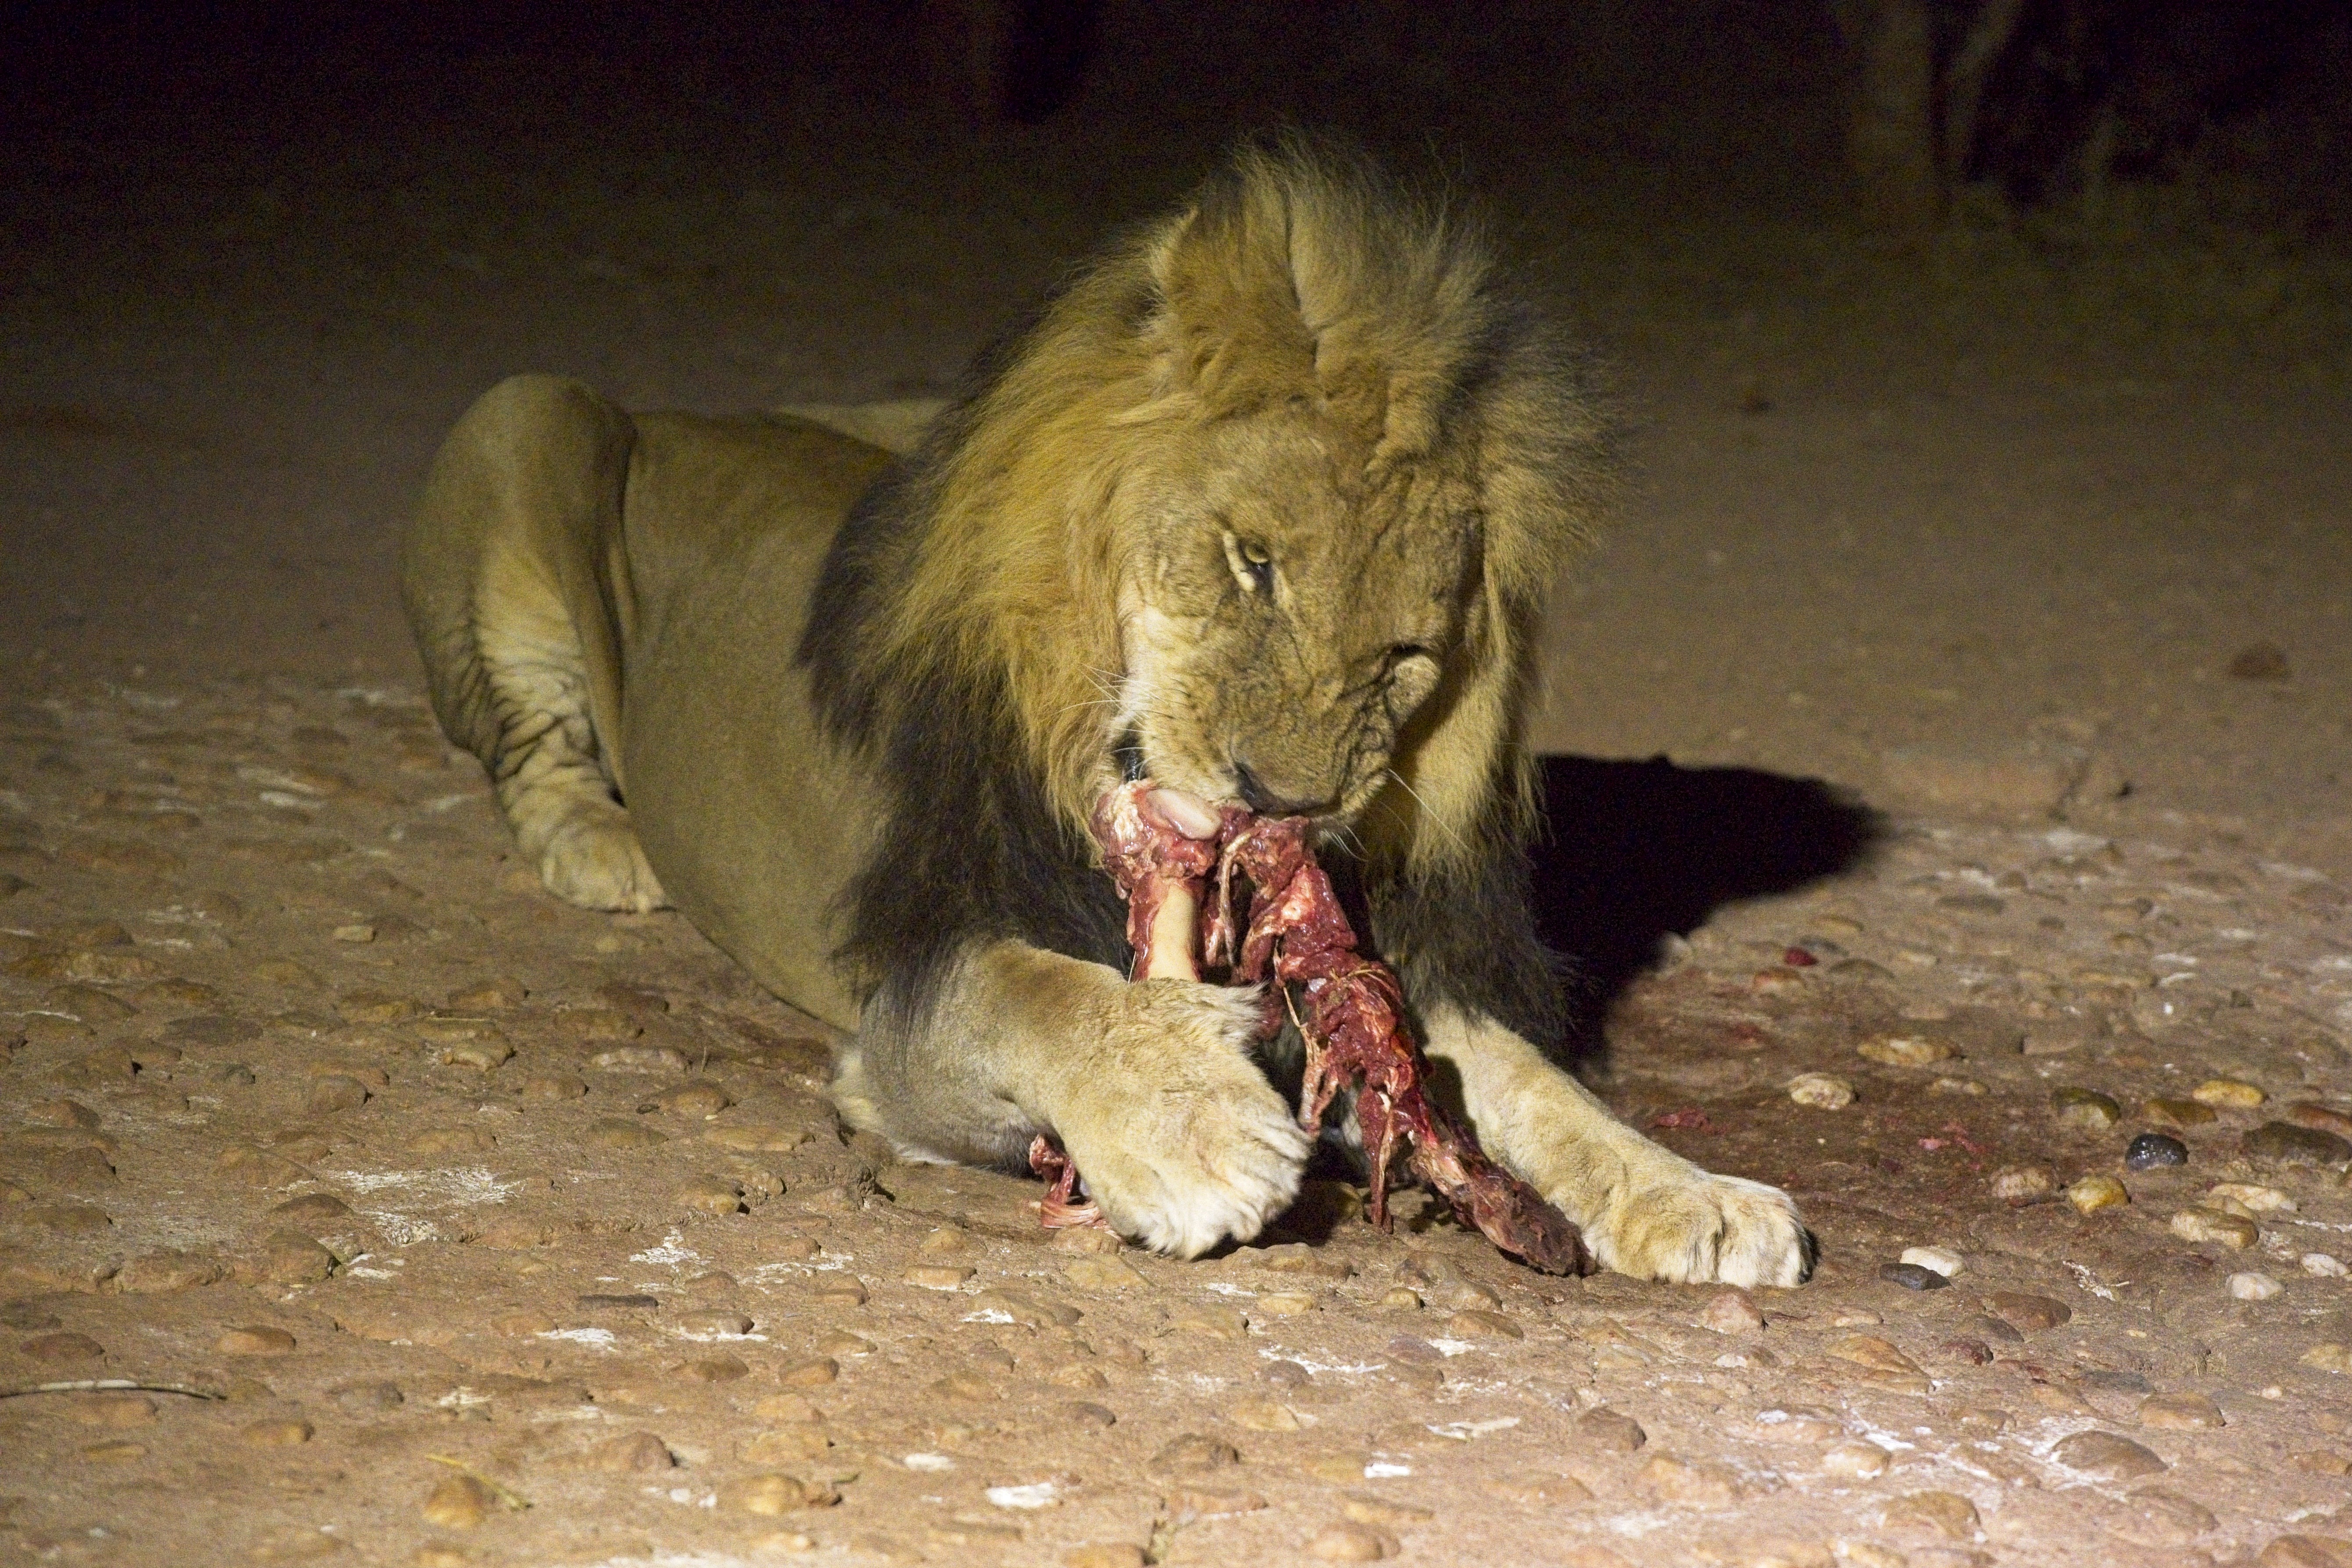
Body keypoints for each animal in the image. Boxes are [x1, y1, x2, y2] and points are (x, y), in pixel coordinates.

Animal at [401, 139, 1814, 1287]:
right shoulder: (903, 1003)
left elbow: (1522, 1076)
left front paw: (1693, 1192)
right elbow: (1034, 990)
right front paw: (1189, 1126)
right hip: (522, 410)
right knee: (526, 740)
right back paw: (602, 844)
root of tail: (694, 411)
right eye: (1253, 563)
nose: (1285, 800)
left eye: (1409, 649)